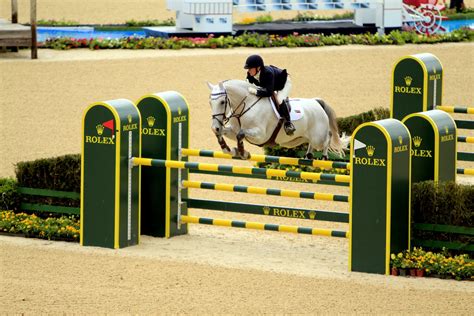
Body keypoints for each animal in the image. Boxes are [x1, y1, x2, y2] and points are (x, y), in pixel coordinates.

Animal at [206, 79, 348, 158]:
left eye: (222, 102)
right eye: (210, 102)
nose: (215, 126)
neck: (247, 105)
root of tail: (316, 102)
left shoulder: (260, 135)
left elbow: (240, 134)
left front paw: (242, 153)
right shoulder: (232, 131)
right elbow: (226, 134)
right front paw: (228, 150)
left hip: (318, 137)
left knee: (328, 137)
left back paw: (324, 156)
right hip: (298, 139)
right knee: (312, 143)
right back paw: (308, 155)